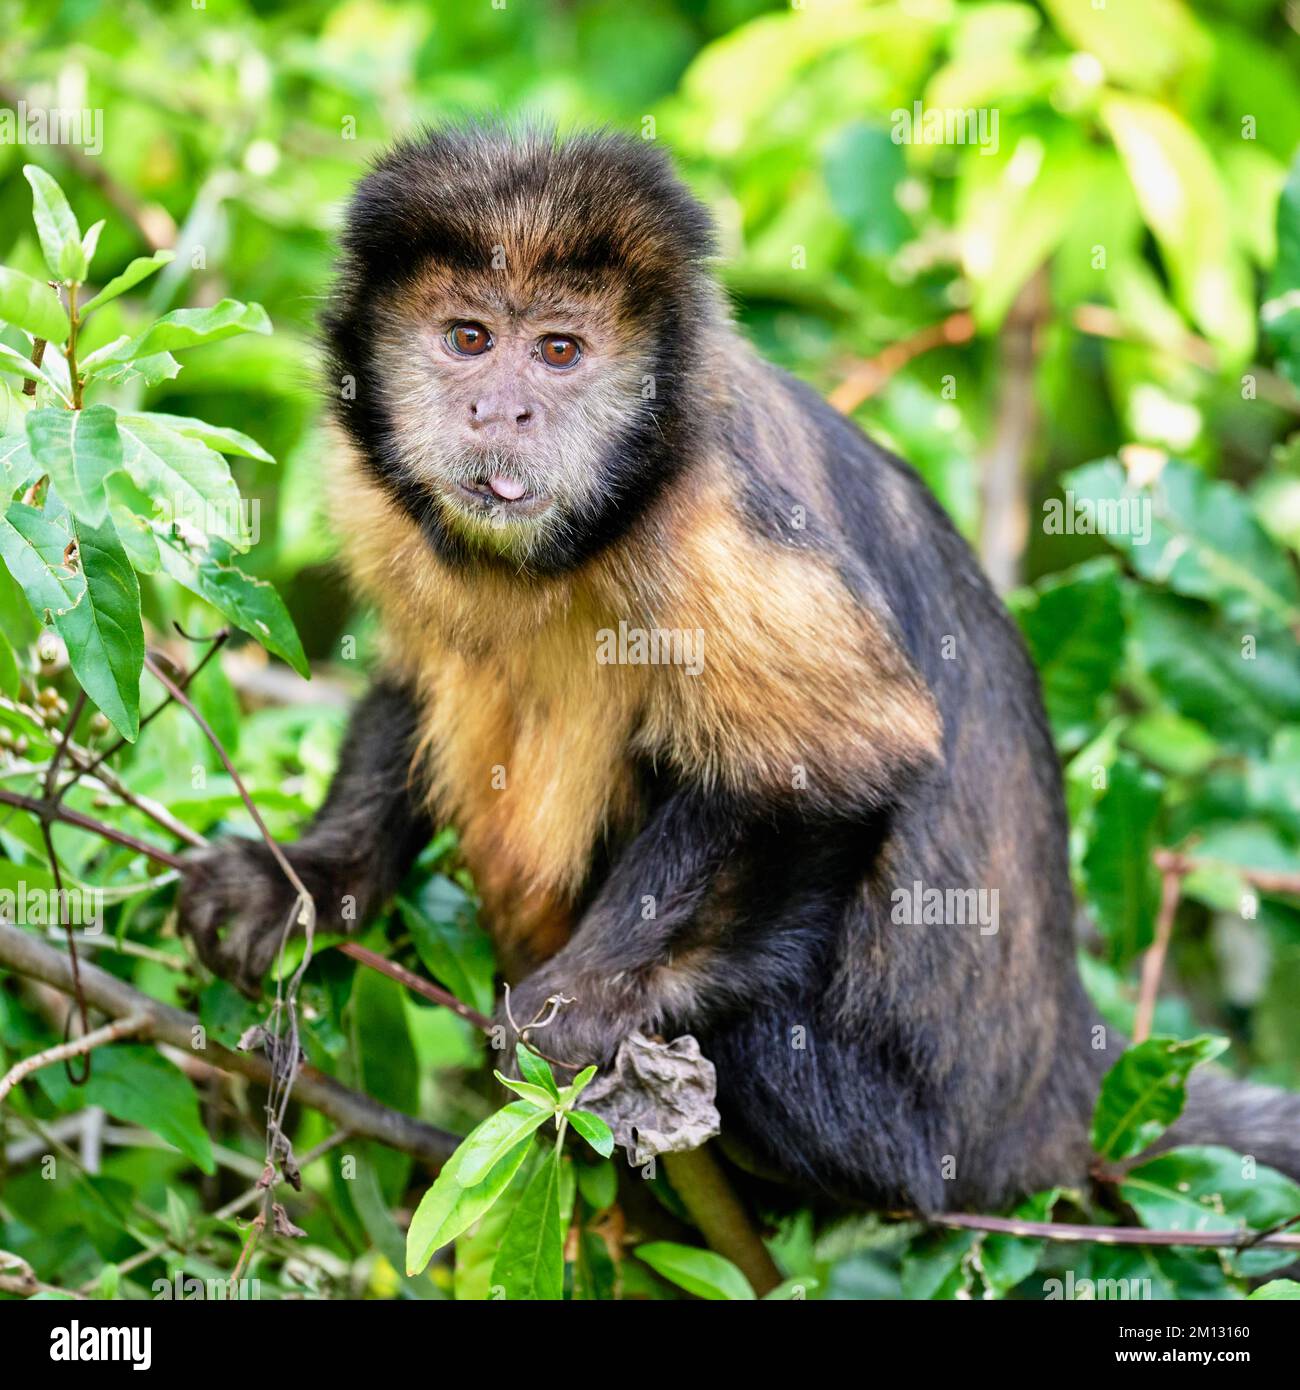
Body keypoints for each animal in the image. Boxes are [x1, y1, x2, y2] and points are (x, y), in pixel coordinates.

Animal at [180, 123, 1300, 1214]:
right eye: (468, 339)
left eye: (558, 352)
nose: (500, 413)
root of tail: (1062, 1084)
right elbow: (413, 683)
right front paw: (308, 881)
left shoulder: (711, 515)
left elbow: (852, 756)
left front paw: (591, 1001)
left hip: (893, 1134)